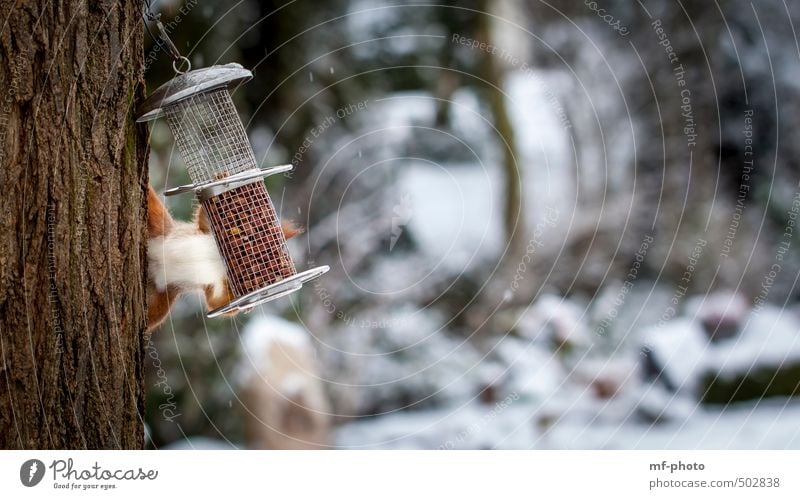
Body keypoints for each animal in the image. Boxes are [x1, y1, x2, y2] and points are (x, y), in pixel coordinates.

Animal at [145, 185, 300, 332]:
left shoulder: (215, 282)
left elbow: (216, 301)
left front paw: (243, 302)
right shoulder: (209, 232)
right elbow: (205, 218)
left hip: (160, 301)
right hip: (159, 223)